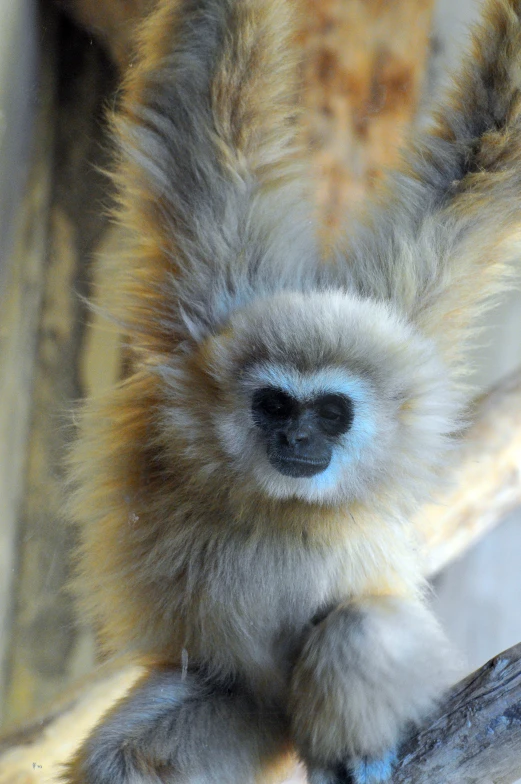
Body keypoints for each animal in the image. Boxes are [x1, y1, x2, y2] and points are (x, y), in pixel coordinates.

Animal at [64, 0, 520, 780]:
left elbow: (483, 162)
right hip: (249, 706)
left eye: (332, 413)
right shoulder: (203, 304)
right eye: (275, 403)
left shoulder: (410, 318)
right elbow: (205, 99)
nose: (297, 435)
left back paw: (357, 755)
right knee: (127, 757)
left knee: (360, 629)